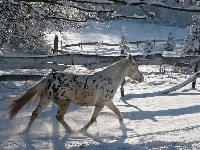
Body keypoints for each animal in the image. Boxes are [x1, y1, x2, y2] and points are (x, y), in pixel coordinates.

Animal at [8, 54, 144, 134]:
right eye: (136, 66)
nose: (142, 78)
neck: (110, 79)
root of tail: (48, 78)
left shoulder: (107, 102)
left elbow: (118, 113)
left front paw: (124, 127)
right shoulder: (101, 103)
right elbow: (93, 119)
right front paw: (82, 129)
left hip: (46, 99)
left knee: (35, 113)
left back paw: (24, 131)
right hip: (64, 102)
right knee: (59, 117)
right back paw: (71, 130)